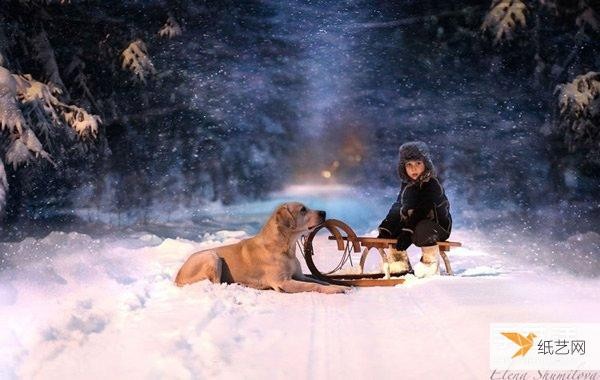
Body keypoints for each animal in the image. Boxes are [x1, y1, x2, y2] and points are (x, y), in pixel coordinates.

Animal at [175, 202, 346, 294]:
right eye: (303, 209)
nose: (323, 212)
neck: (285, 247)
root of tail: (177, 276)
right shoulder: (283, 282)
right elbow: (313, 285)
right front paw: (334, 289)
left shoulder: (299, 276)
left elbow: (318, 280)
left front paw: (336, 285)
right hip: (212, 257)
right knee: (216, 283)